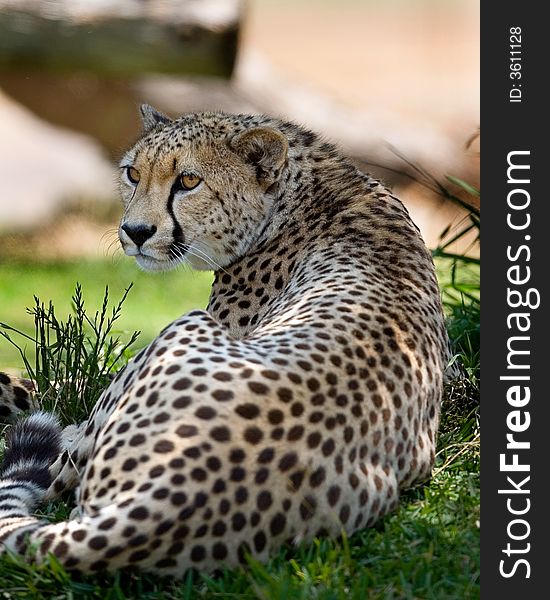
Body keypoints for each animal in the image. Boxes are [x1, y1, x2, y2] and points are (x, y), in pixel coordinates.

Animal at [0, 105, 452, 576]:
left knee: (58, 476)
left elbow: (66, 394)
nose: (135, 231)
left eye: (188, 181)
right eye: (133, 174)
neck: (296, 194)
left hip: (178, 332)